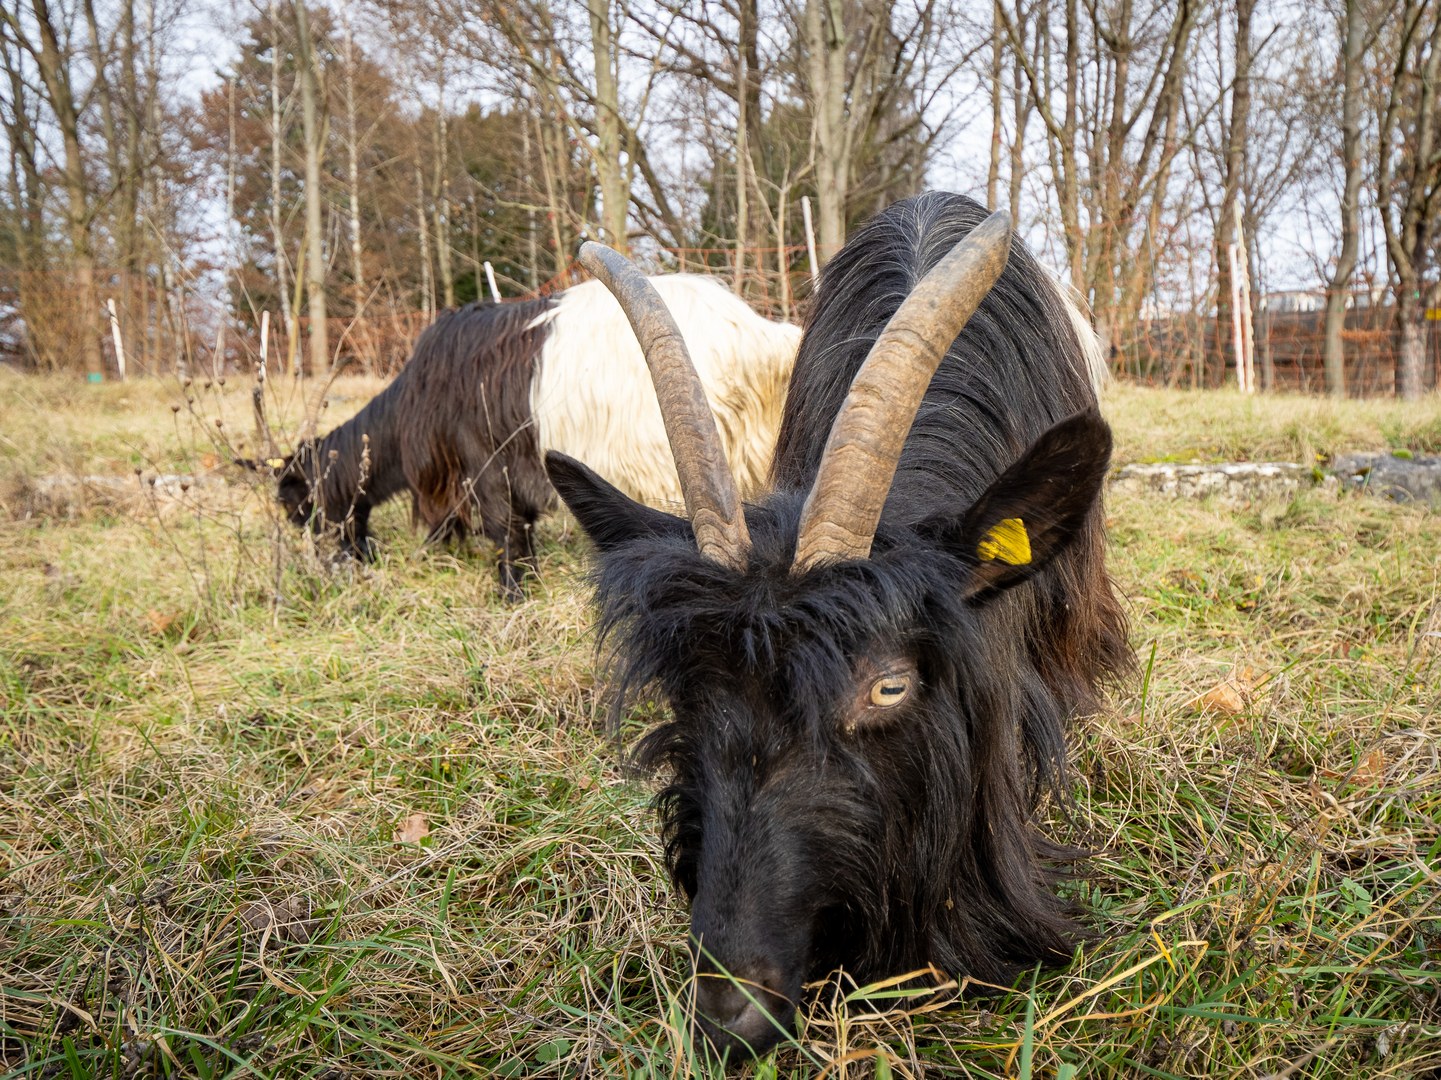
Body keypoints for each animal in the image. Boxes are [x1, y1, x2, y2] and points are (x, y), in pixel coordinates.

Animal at [253, 273, 806, 594]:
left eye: (296, 502)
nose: (333, 563)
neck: (421, 392)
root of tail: (762, 343)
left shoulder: (482, 460)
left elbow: (504, 528)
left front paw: (509, 591)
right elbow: (521, 528)